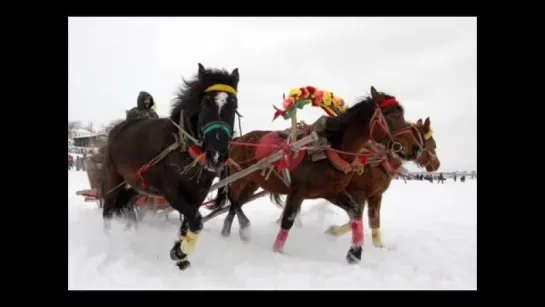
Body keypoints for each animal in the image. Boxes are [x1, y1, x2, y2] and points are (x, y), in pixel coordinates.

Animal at [102, 63, 238, 270]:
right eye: (206, 103)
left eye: (234, 105)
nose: (217, 154)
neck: (182, 147)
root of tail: (117, 129)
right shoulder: (171, 191)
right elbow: (196, 221)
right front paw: (180, 252)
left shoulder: (198, 193)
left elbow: (188, 223)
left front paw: (180, 253)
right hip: (113, 177)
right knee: (108, 210)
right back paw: (110, 239)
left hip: (136, 185)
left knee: (126, 206)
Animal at [209, 86, 420, 264]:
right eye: (392, 115)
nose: (416, 148)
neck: (327, 149)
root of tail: (237, 140)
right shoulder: (297, 191)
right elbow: (288, 220)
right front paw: (277, 251)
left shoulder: (333, 192)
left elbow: (355, 214)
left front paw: (354, 253)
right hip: (239, 177)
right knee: (234, 200)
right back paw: (244, 229)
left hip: (252, 182)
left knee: (234, 204)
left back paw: (227, 233)